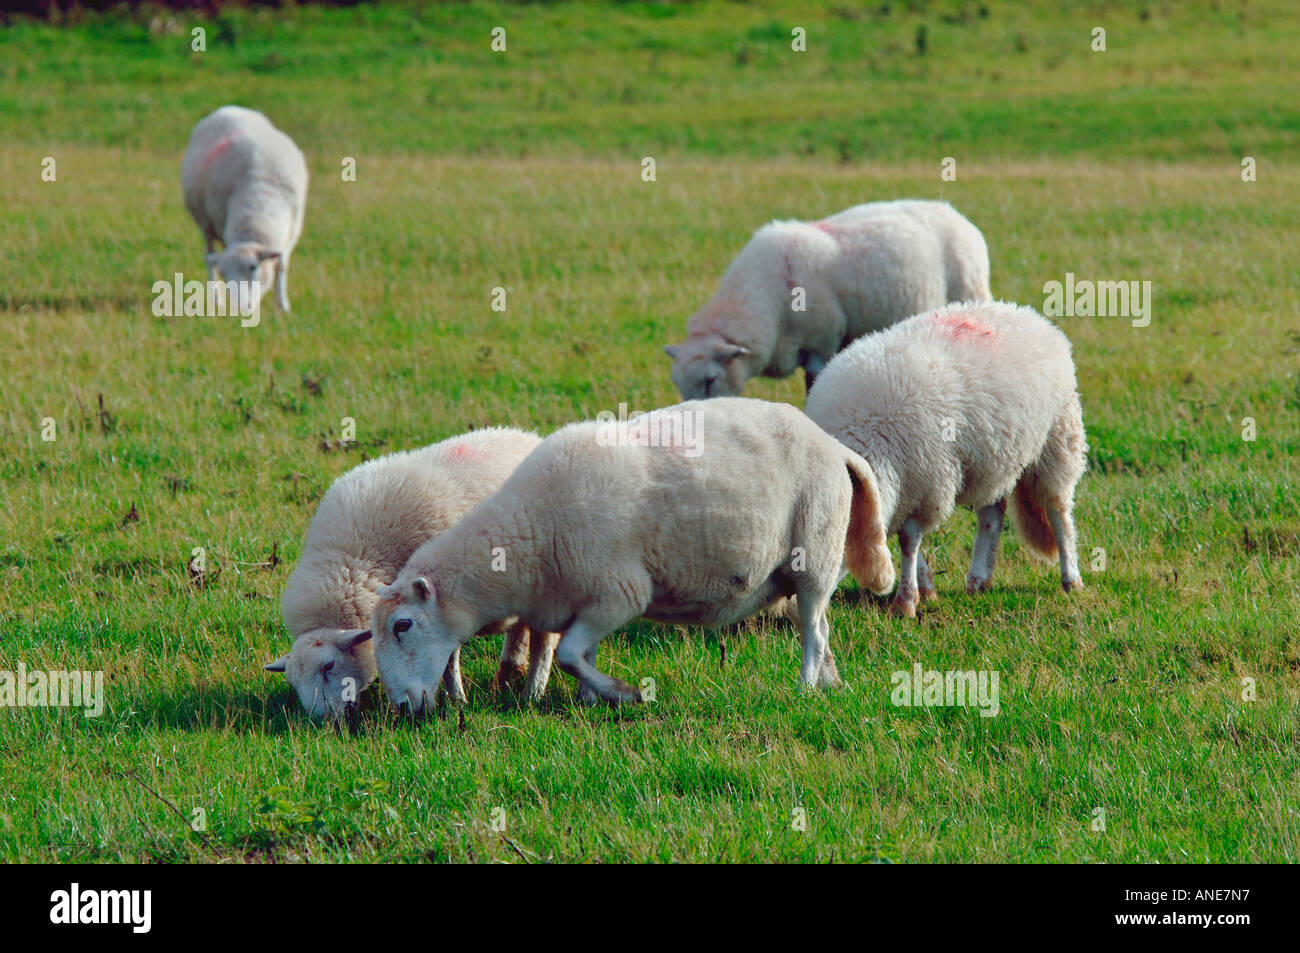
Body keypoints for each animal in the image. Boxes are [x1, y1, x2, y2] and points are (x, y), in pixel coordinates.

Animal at [181, 105, 308, 315]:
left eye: (253, 267)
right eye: (224, 273)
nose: (240, 308)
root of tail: (229, 108)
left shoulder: (291, 234)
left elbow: (282, 268)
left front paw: (283, 307)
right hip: (205, 224)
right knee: (209, 256)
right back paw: (216, 300)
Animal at [264, 427, 560, 720]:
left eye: (328, 666)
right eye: (293, 682)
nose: (321, 721)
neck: (351, 557)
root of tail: (524, 435)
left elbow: (448, 658)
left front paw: (456, 701)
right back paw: (510, 671)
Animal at [369, 397, 896, 713]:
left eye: (403, 625)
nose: (402, 708)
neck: (530, 533)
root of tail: (834, 446)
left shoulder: (619, 593)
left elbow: (570, 654)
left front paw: (624, 694)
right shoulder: (579, 602)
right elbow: (577, 654)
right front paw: (590, 700)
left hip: (815, 553)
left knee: (814, 630)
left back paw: (806, 686)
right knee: (823, 627)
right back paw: (830, 684)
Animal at [803, 300, 1087, 618]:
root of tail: (1025, 313)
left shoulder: (928, 483)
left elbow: (908, 540)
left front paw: (907, 602)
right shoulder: (907, 489)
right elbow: (904, 538)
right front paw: (925, 588)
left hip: (1057, 441)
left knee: (1058, 512)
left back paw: (1071, 578)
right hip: (994, 457)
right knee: (992, 514)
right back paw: (978, 579)